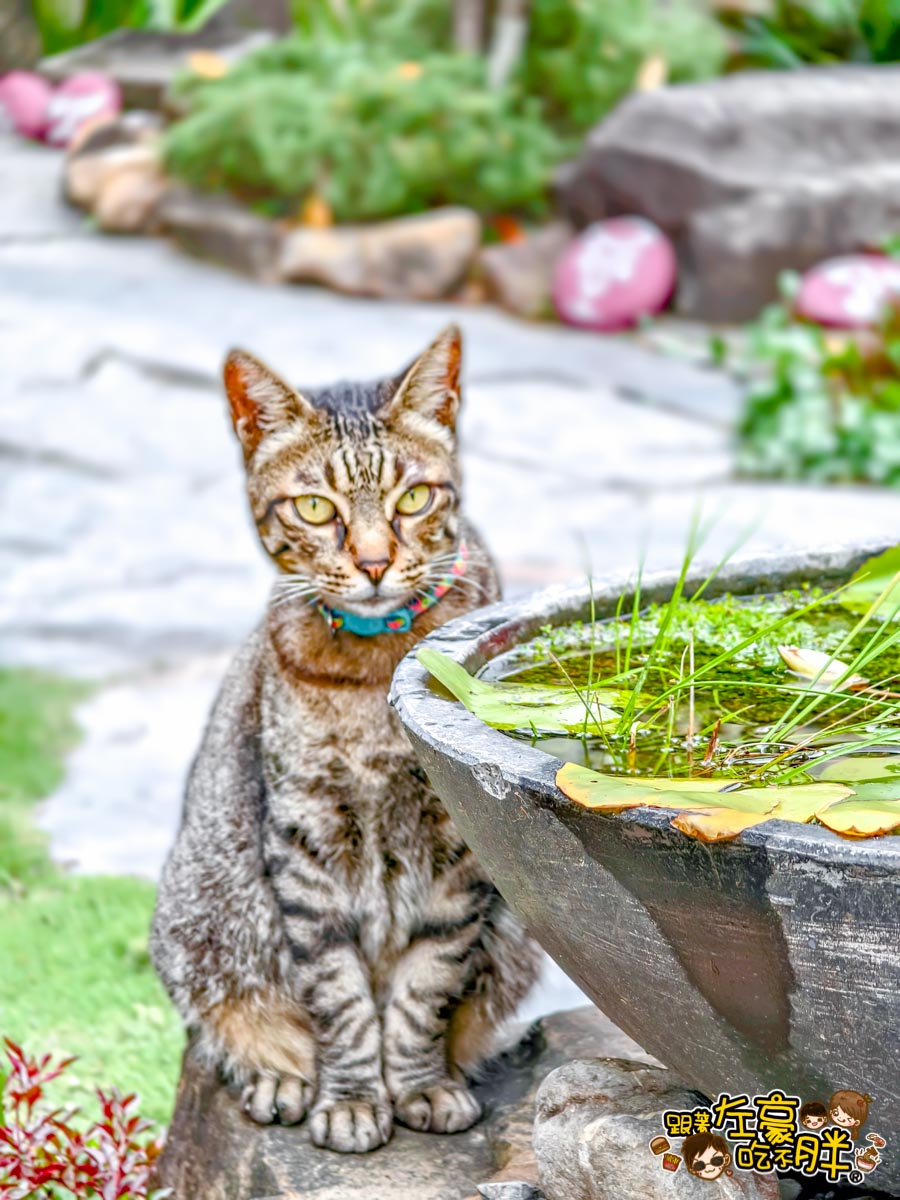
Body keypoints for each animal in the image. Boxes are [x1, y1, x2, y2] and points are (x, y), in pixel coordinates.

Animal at [151, 326, 540, 1152]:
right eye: (314, 508)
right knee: (230, 1023)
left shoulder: (457, 848)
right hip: (198, 923)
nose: (372, 562)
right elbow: (338, 996)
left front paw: (419, 1085)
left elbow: (427, 986)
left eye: (413, 498)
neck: (372, 675)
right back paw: (279, 1075)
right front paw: (356, 1098)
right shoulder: (306, 842)